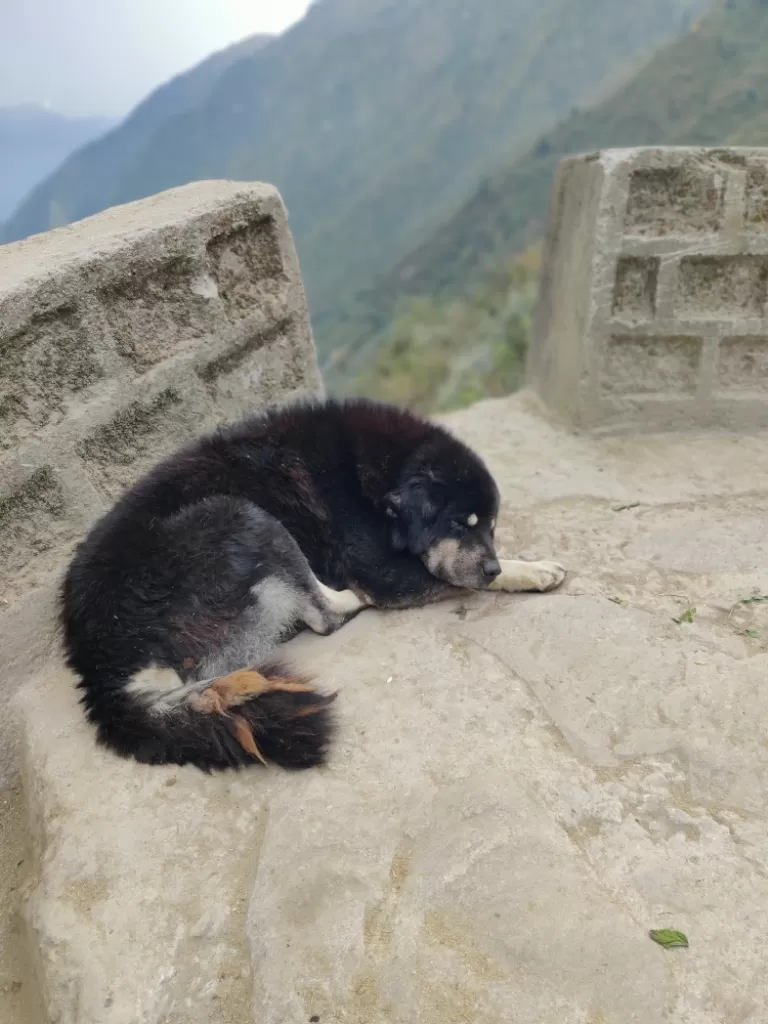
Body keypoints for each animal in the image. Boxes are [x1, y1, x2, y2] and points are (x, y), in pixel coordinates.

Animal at [61, 395, 565, 770]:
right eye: (461, 523)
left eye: (491, 527)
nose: (491, 567)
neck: (377, 483)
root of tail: (102, 668)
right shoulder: (386, 574)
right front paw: (533, 569)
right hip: (237, 514)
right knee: (325, 616)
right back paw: (344, 602)